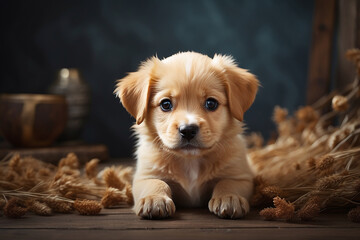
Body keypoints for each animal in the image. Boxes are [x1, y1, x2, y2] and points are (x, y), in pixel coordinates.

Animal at [115, 51, 258, 218]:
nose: (188, 130)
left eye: (211, 103)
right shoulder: (144, 176)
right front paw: (154, 199)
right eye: (165, 104)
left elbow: (227, 182)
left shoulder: (242, 176)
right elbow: (156, 182)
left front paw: (229, 197)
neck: (190, 160)